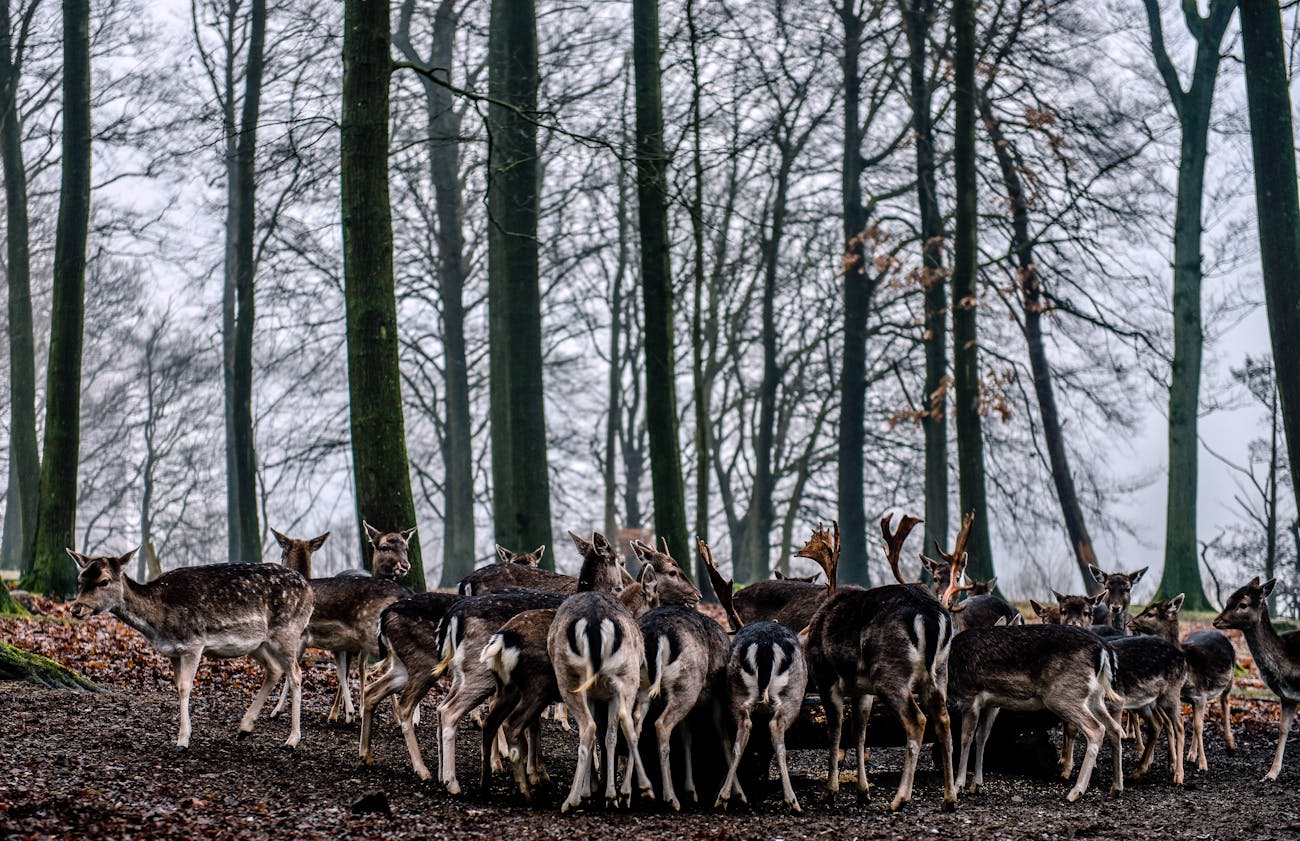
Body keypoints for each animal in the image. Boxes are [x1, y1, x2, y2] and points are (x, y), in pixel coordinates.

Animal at [69, 548, 314, 753]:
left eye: (104, 581)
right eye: (80, 579)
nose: (75, 609)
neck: (158, 621)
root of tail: (310, 592)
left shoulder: (194, 644)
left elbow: (185, 687)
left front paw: (182, 740)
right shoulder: (173, 652)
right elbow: (177, 686)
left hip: (287, 632)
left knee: (296, 673)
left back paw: (292, 739)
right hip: (258, 643)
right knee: (274, 669)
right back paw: (245, 727)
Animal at [1206, 579, 1300, 785]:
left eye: (1243, 604)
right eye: (1228, 600)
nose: (1216, 621)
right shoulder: (1288, 697)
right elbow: (1283, 728)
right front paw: (1271, 774)